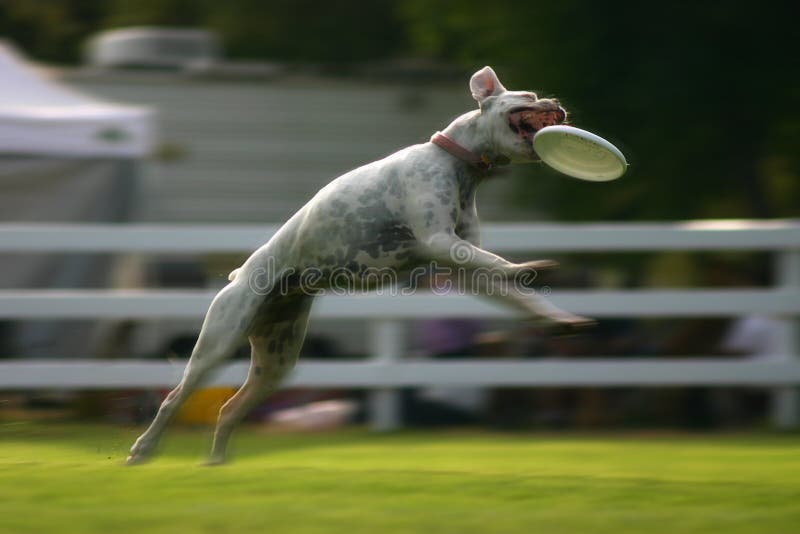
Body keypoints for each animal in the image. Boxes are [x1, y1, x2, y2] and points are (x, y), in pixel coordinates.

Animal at [128, 67, 592, 466]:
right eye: (528, 96)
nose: (557, 102)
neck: (455, 162)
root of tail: (238, 275)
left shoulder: (464, 267)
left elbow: (514, 291)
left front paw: (558, 318)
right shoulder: (441, 242)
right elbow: (499, 264)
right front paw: (530, 267)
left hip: (275, 364)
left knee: (228, 408)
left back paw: (216, 462)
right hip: (218, 345)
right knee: (173, 398)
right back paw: (142, 450)